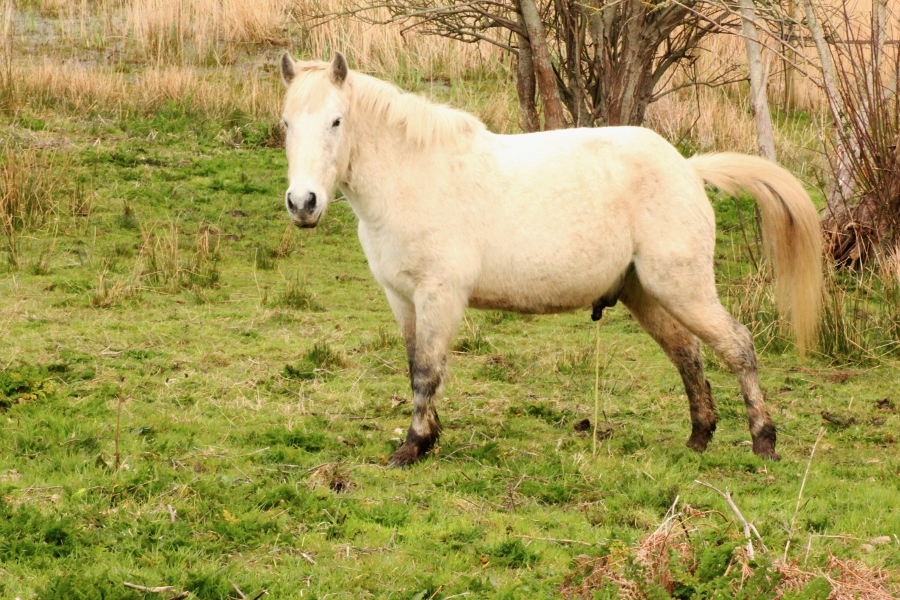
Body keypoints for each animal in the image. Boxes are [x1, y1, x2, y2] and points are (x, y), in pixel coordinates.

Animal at [282, 52, 824, 464]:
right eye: (286, 124)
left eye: (336, 121)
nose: (303, 203)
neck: (413, 176)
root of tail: (688, 168)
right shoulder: (402, 298)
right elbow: (417, 365)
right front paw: (426, 438)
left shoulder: (439, 295)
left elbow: (427, 372)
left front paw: (413, 447)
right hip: (648, 295)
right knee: (687, 354)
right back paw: (699, 437)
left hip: (682, 289)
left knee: (737, 346)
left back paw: (763, 442)